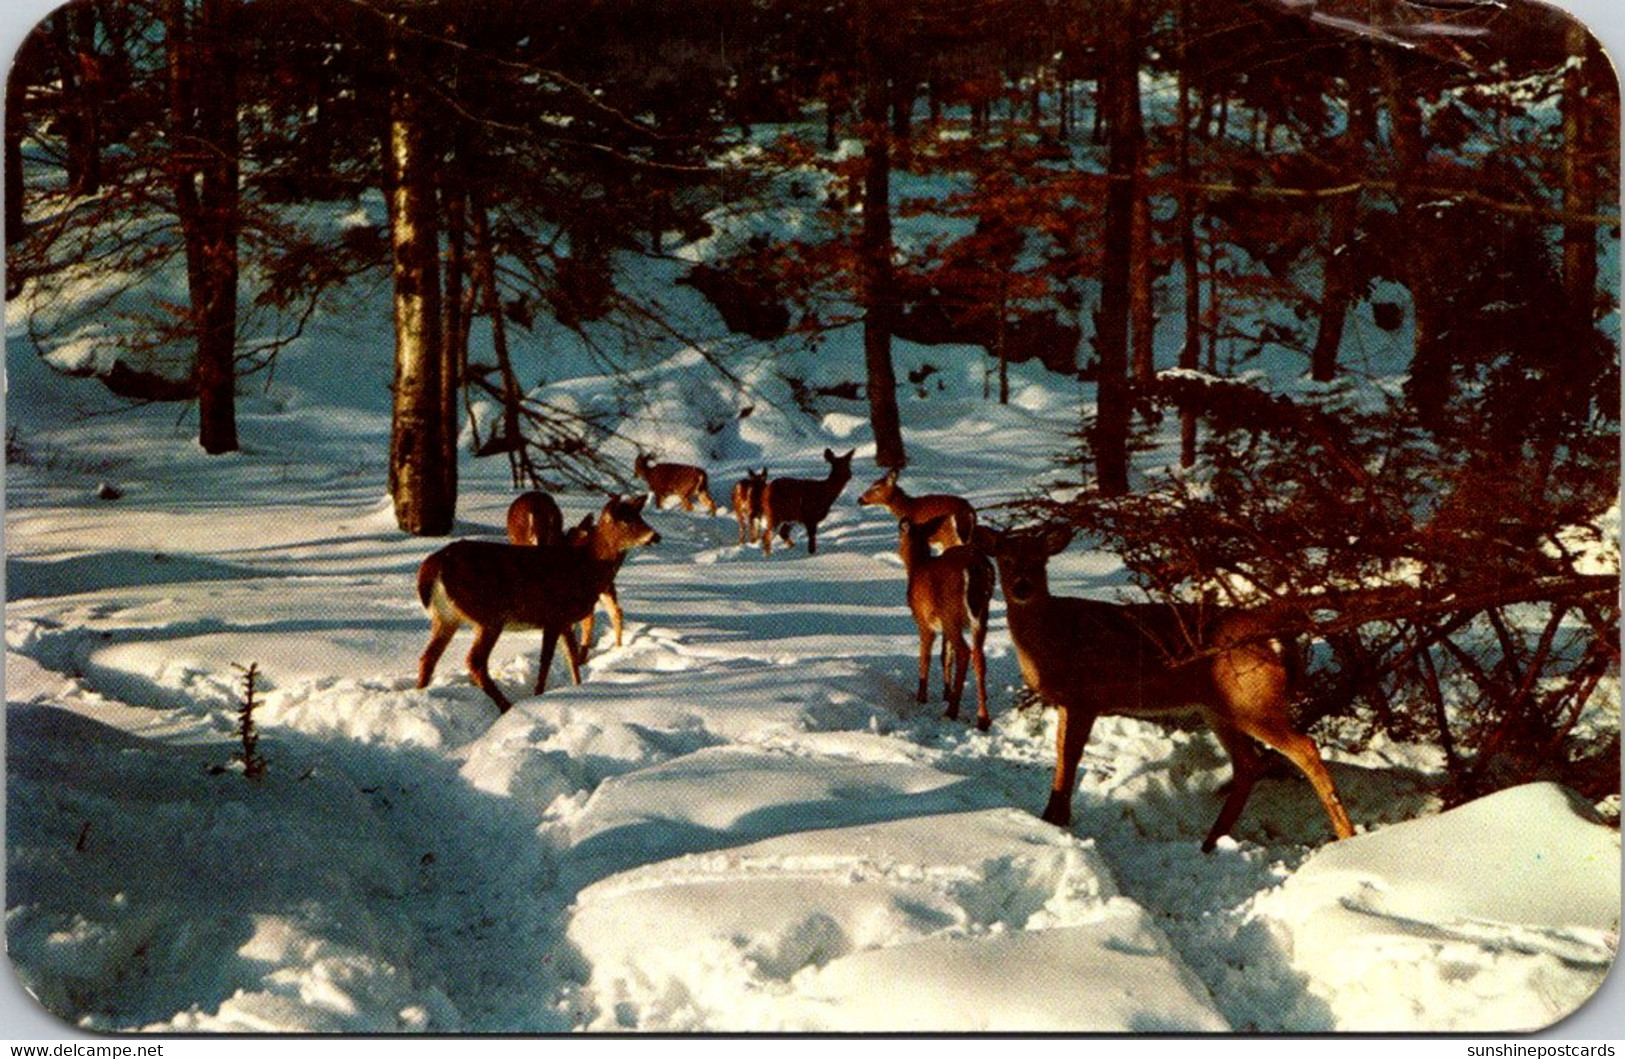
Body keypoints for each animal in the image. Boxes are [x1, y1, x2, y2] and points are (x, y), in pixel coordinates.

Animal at [419, 493, 659, 711]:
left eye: (640, 516)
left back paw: (421, 692)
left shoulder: (564, 619)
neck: (585, 568)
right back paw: (506, 706)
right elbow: (547, 660)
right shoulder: (553, 615)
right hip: (488, 614)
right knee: (474, 661)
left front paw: (577, 687)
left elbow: (571, 657)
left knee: (428, 658)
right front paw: (539, 695)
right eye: (626, 521)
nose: (656, 536)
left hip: (446, 617)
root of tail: (433, 565)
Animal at [897, 516, 994, 730]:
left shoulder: (925, 622)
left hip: (951, 613)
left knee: (965, 652)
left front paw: (922, 697)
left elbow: (925, 657)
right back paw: (982, 718)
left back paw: (952, 712)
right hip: (981, 614)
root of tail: (975, 567)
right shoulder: (943, 627)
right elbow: (945, 656)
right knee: (978, 656)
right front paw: (946, 693)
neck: (917, 566)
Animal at [975, 523, 1358, 851]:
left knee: (1304, 748)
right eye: (1005, 558)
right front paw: (1048, 816)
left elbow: (1069, 757)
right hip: (1219, 708)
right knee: (1248, 763)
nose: (1022, 586)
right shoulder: (1066, 701)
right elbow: (1060, 753)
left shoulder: (1086, 697)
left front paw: (1057, 820)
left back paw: (1346, 836)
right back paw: (1211, 842)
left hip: (1253, 699)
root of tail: (1274, 636)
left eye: (1039, 559)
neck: (1053, 637)